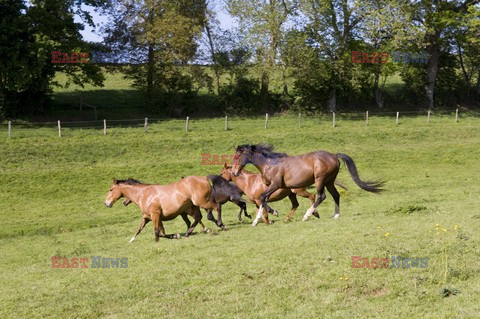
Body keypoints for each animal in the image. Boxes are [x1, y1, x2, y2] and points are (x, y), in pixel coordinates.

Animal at [231, 144, 384, 225]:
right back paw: (335, 215)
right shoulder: (272, 187)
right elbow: (263, 200)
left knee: (321, 196)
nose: (233, 172)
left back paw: (307, 215)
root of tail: (334, 156)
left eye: (237, 157)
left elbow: (263, 198)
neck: (270, 164)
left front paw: (272, 213)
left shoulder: (276, 185)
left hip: (320, 180)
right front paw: (256, 221)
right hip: (329, 181)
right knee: (335, 195)